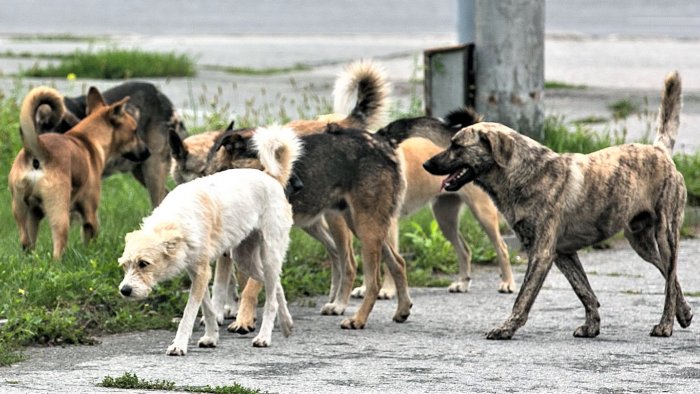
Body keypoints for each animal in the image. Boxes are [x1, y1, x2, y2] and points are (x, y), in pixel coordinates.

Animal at [9, 86, 149, 258]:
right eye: (134, 131)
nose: (148, 152)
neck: (88, 139)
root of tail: (38, 151)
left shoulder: (35, 214)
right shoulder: (90, 214)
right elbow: (90, 238)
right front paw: (91, 254)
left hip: (22, 212)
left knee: (26, 242)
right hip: (59, 214)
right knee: (58, 246)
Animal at [117, 125, 300, 354]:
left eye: (144, 264)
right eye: (125, 266)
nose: (124, 290)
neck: (176, 221)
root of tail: (271, 177)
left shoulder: (202, 273)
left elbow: (189, 312)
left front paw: (179, 344)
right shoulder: (197, 273)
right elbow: (208, 308)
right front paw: (211, 337)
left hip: (268, 254)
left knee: (271, 299)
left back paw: (264, 337)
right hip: (245, 260)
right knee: (275, 286)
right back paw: (286, 323)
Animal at [424, 72, 692, 340]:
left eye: (457, 146)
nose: (426, 164)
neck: (524, 173)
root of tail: (659, 150)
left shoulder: (541, 254)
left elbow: (523, 298)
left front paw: (506, 328)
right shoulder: (563, 253)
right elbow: (584, 291)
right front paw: (592, 326)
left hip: (665, 235)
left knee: (669, 279)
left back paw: (665, 324)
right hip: (641, 242)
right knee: (670, 275)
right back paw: (684, 312)